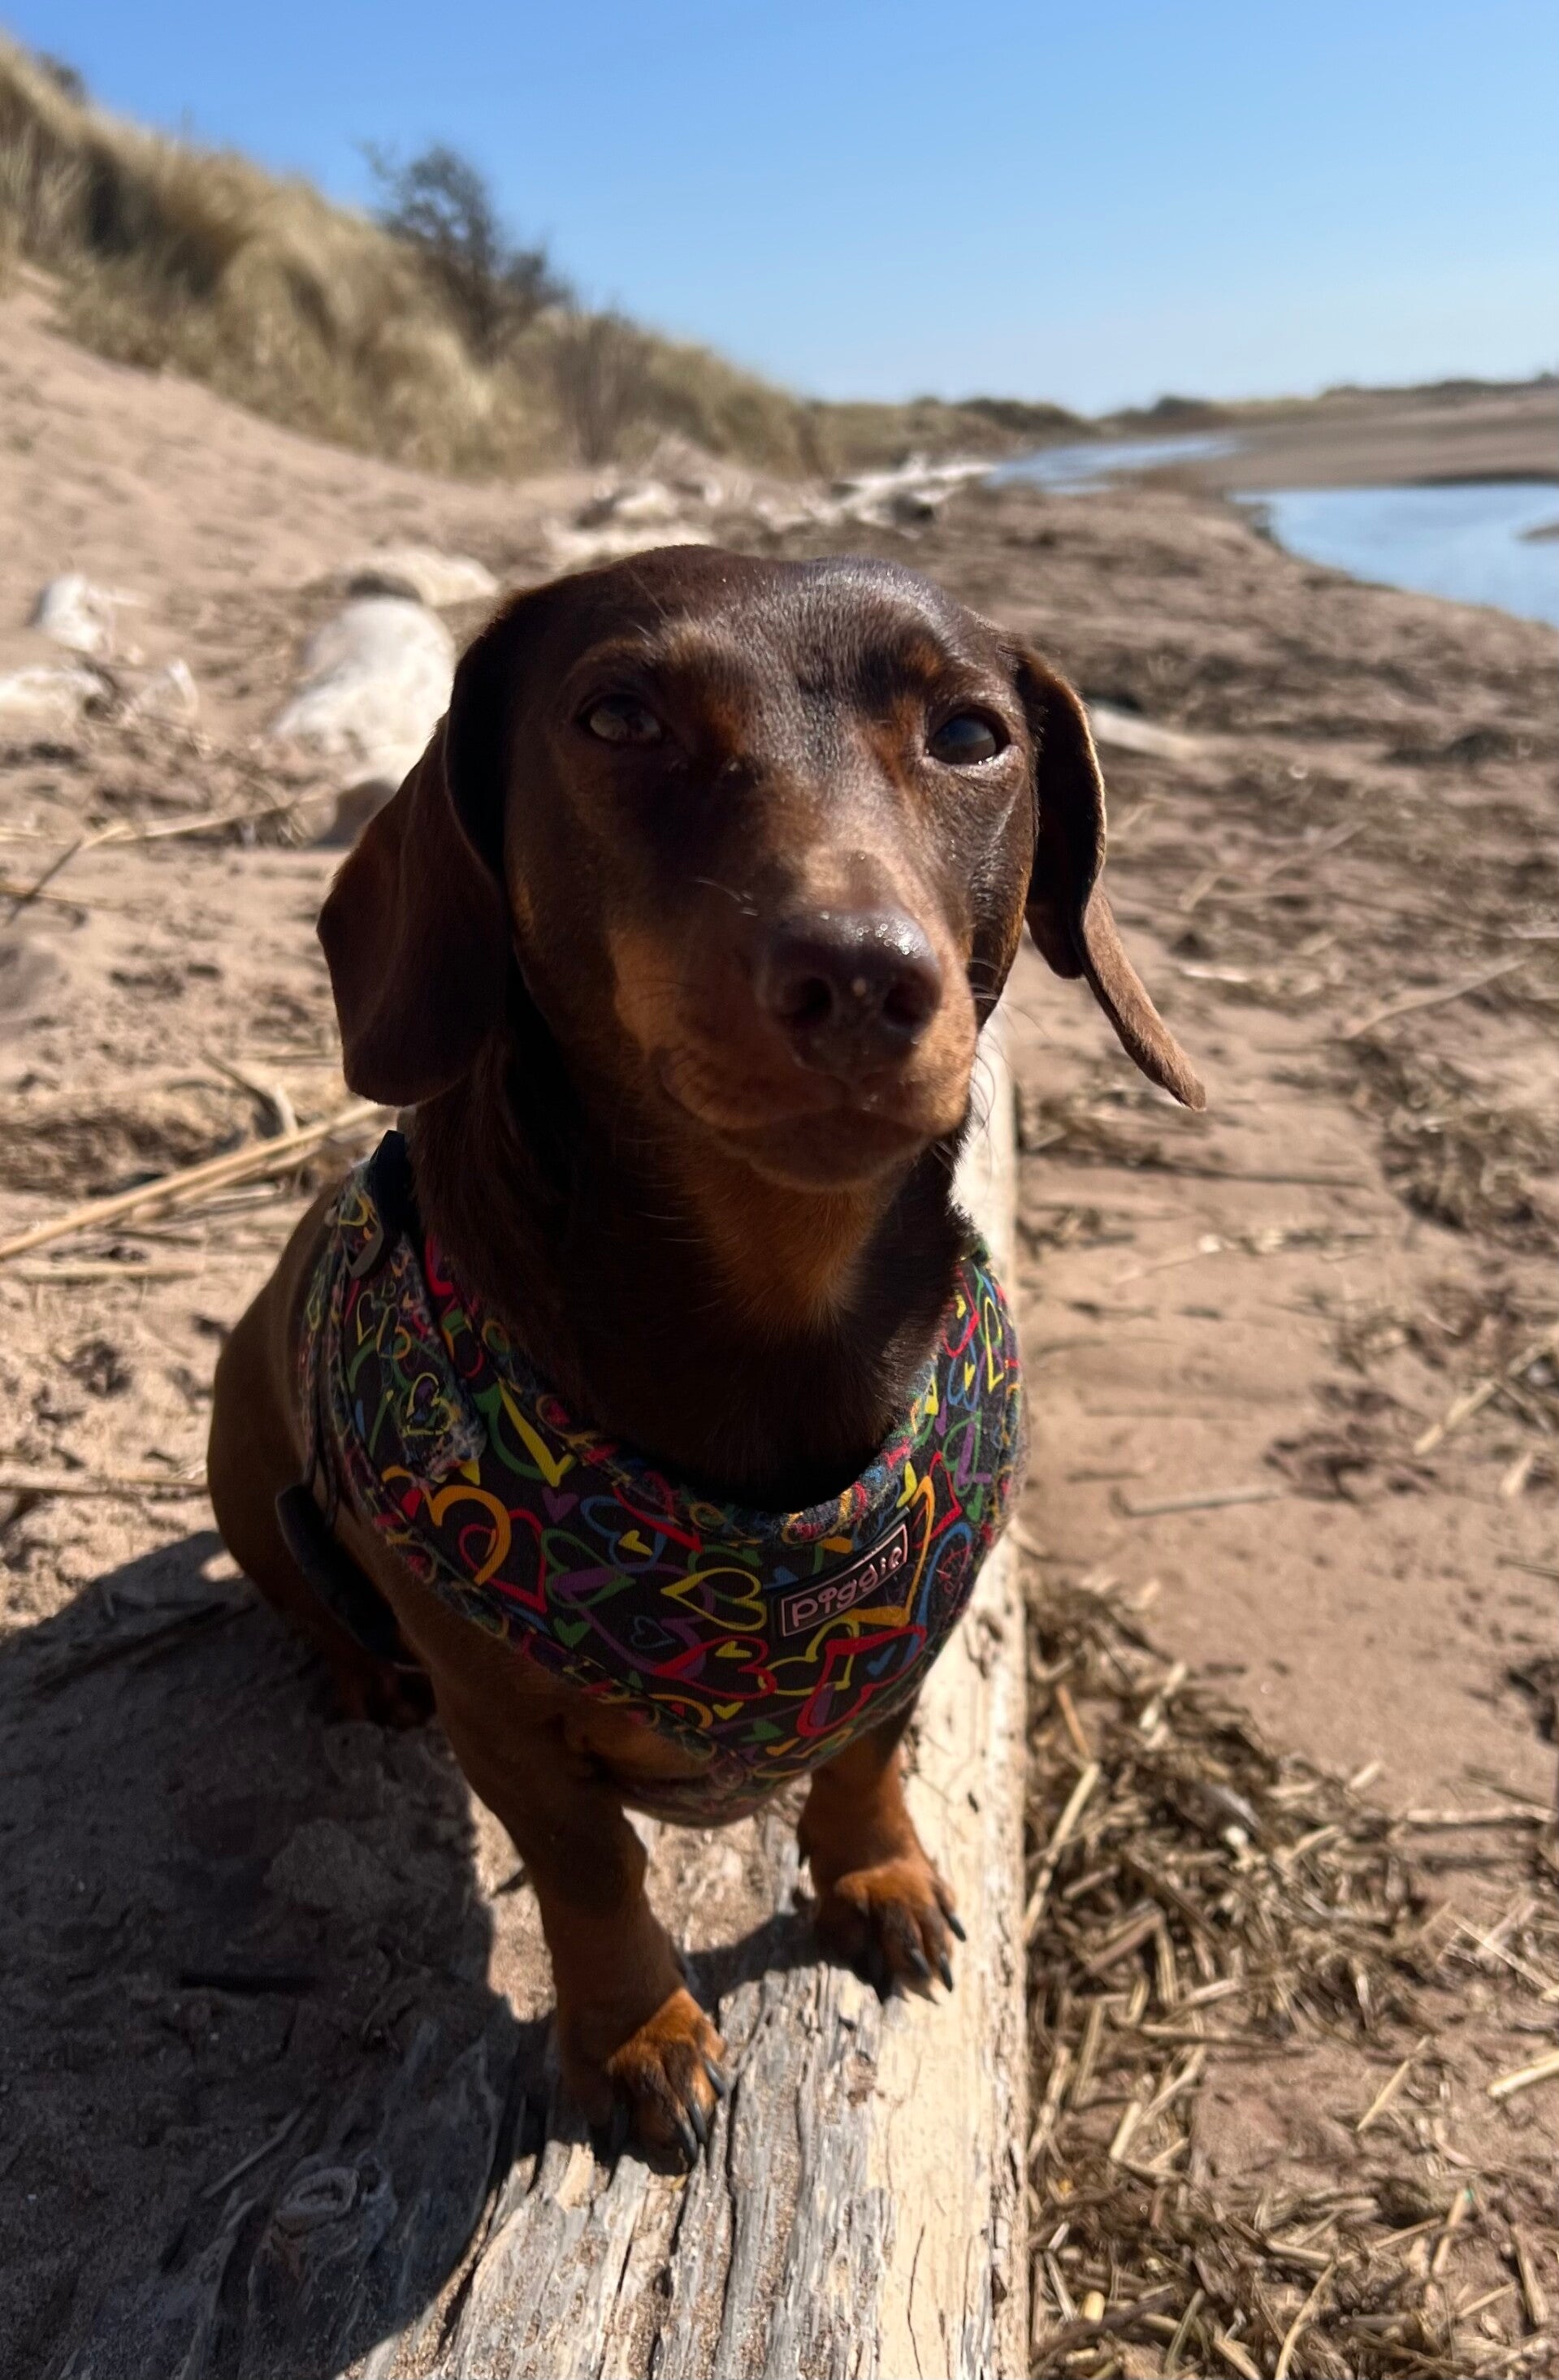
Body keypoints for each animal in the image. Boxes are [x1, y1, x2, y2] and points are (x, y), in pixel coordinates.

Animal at [208, 546, 1201, 2160]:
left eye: (971, 735)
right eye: (617, 715)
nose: (858, 978)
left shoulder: (911, 1621)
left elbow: (863, 1752)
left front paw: (874, 1877)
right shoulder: (507, 1732)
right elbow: (590, 1868)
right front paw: (636, 2033)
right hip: (245, 1471)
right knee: (310, 1598)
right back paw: (358, 1673)